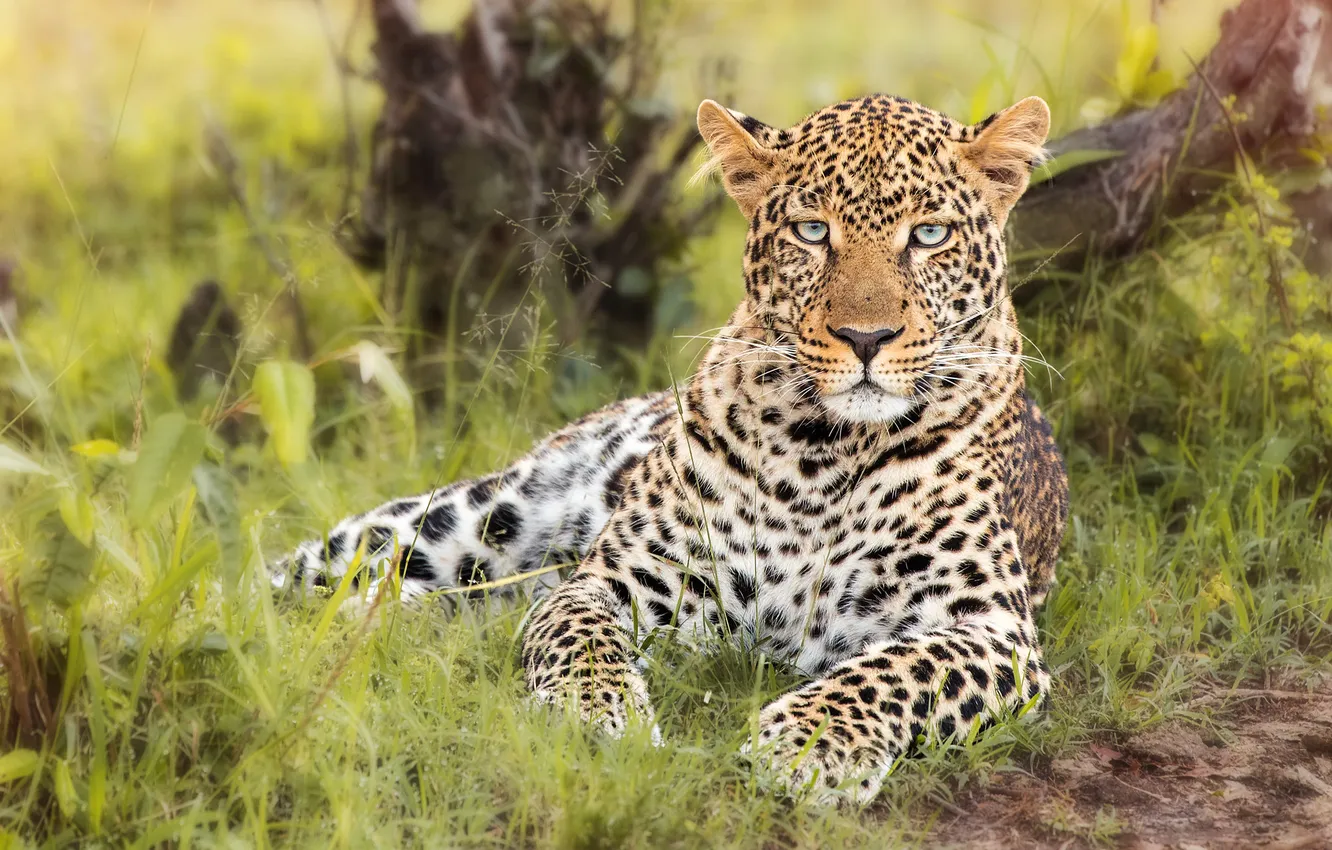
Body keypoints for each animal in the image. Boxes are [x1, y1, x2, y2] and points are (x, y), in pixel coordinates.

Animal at [276, 93, 1069, 805]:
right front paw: (595, 721)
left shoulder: (991, 626)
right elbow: (580, 640)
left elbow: (892, 673)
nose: (866, 338)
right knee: (298, 572)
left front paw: (808, 746)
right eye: (813, 231)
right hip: (465, 520)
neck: (824, 453)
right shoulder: (617, 577)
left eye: (929, 235)